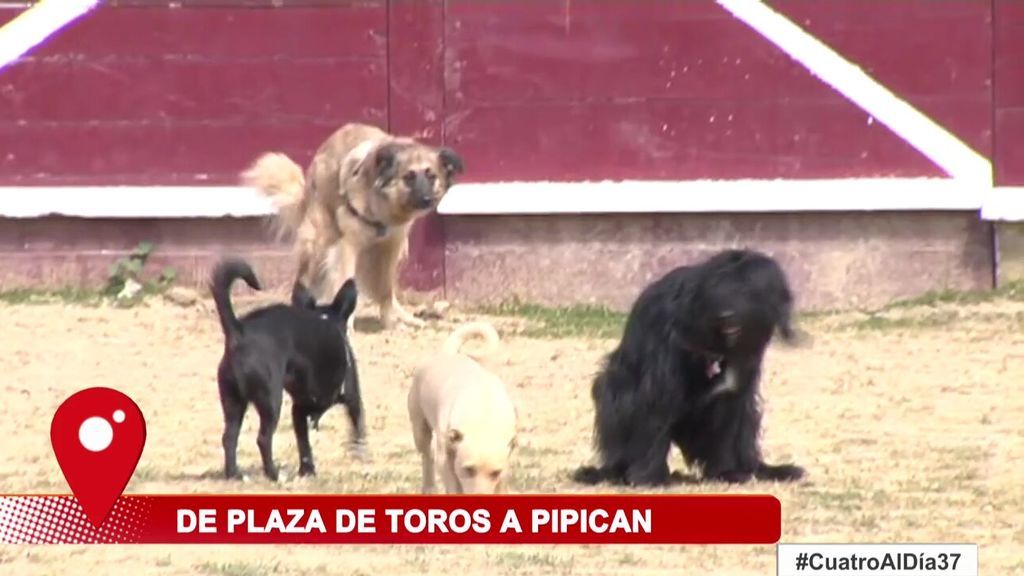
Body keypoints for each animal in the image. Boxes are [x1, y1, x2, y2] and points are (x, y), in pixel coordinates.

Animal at [209, 256, 366, 479]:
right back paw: (274, 474)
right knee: (263, 439)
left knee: (229, 438)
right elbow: (357, 425)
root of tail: (239, 332)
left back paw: (234, 474)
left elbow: (304, 444)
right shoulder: (348, 397)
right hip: (271, 401)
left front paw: (307, 469)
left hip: (233, 401)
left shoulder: (298, 410)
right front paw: (359, 451)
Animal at [239, 123, 464, 330]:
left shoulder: (390, 247)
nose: (427, 199)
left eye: (431, 176)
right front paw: (345, 326)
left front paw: (390, 323)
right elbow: (344, 285)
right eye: (408, 177)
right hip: (319, 241)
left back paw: (406, 317)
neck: (384, 209)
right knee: (304, 279)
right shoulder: (348, 247)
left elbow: (386, 291)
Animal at [407, 319, 516, 491]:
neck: (483, 415)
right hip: (420, 431)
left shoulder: (505, 467)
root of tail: (448, 354)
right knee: (426, 456)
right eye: (469, 469)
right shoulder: (445, 460)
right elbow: (453, 484)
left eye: (495, 473)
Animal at [573, 247, 802, 483]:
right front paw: (650, 477)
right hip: (614, 390)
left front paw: (727, 472)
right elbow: (653, 421)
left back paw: (766, 469)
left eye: (747, 288)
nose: (725, 315)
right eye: (717, 288)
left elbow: (728, 431)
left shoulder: (735, 390)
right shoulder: (658, 384)